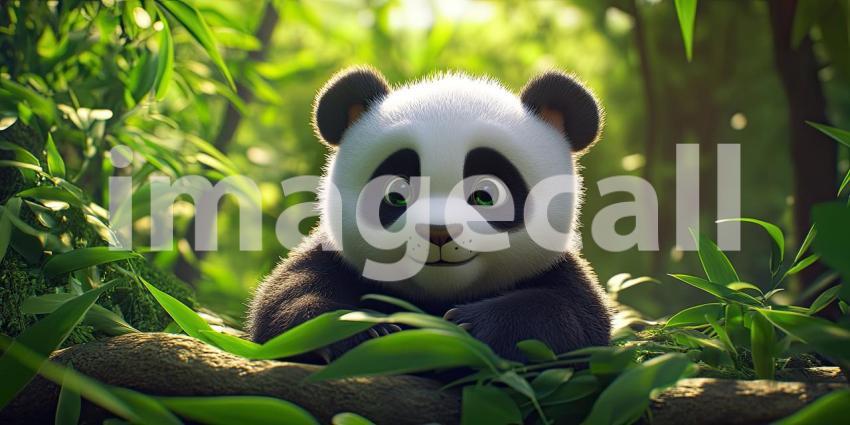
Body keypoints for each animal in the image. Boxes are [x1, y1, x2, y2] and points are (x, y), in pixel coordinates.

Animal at [247, 66, 612, 362]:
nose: (438, 232)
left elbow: (574, 320)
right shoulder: (332, 257)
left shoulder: (557, 272)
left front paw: (470, 327)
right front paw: (362, 331)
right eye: (396, 195)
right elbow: (284, 302)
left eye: (485, 195)